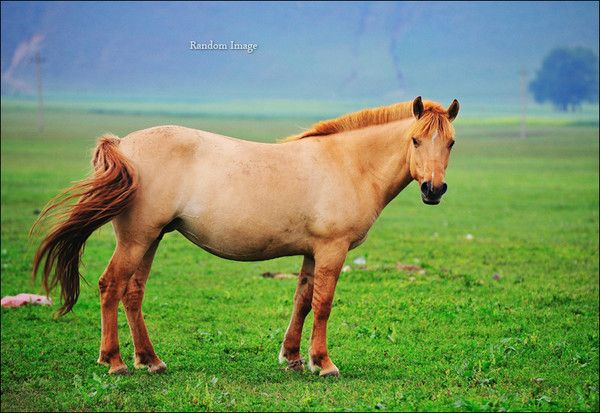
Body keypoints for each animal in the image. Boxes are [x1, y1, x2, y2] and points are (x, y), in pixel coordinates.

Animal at [31, 96, 460, 376]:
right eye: (415, 140)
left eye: (451, 142)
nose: (434, 190)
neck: (350, 164)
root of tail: (123, 144)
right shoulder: (332, 250)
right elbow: (323, 305)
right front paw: (322, 363)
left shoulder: (312, 252)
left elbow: (302, 301)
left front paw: (292, 358)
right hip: (137, 239)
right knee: (110, 286)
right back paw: (116, 361)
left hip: (150, 239)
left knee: (132, 292)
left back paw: (150, 360)